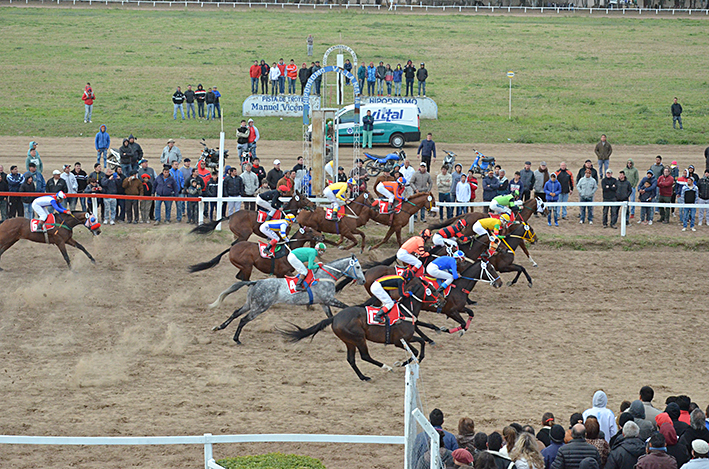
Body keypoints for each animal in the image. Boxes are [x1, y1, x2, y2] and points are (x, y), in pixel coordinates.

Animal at [185, 226, 324, 280]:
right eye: (310, 230)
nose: (322, 236)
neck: (288, 251)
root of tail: (232, 248)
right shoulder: (282, 273)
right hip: (247, 266)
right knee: (244, 279)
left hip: (244, 267)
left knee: (239, 277)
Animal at [209, 254, 366, 346]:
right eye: (358, 267)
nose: (363, 281)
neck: (326, 275)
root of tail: (255, 282)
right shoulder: (329, 299)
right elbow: (346, 307)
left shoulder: (324, 302)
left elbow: (330, 316)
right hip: (259, 307)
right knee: (243, 319)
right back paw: (236, 339)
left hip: (250, 304)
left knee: (236, 313)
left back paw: (219, 327)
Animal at [280, 278, 426, 380]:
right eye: (429, 289)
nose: (434, 303)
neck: (405, 312)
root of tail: (335, 317)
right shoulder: (398, 341)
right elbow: (415, 350)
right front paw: (401, 363)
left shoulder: (408, 338)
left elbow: (421, 343)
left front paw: (413, 360)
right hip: (359, 338)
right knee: (365, 356)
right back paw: (387, 367)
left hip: (349, 340)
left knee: (351, 359)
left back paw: (363, 377)